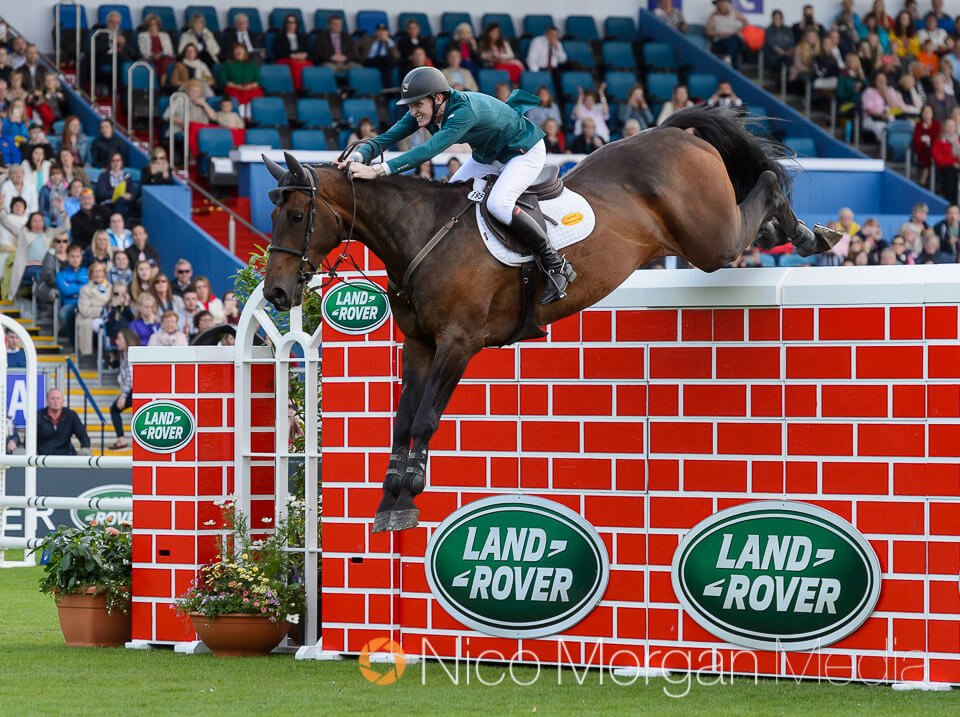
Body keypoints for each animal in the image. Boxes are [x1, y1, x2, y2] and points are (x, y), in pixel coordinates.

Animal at [261, 105, 837, 533]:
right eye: (273, 215)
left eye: (297, 216)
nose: (276, 292)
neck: (420, 232)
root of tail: (674, 133)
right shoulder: (420, 343)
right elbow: (403, 420)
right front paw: (389, 503)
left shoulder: (458, 342)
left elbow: (425, 417)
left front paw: (407, 497)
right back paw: (800, 233)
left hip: (711, 240)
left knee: (765, 182)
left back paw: (810, 235)